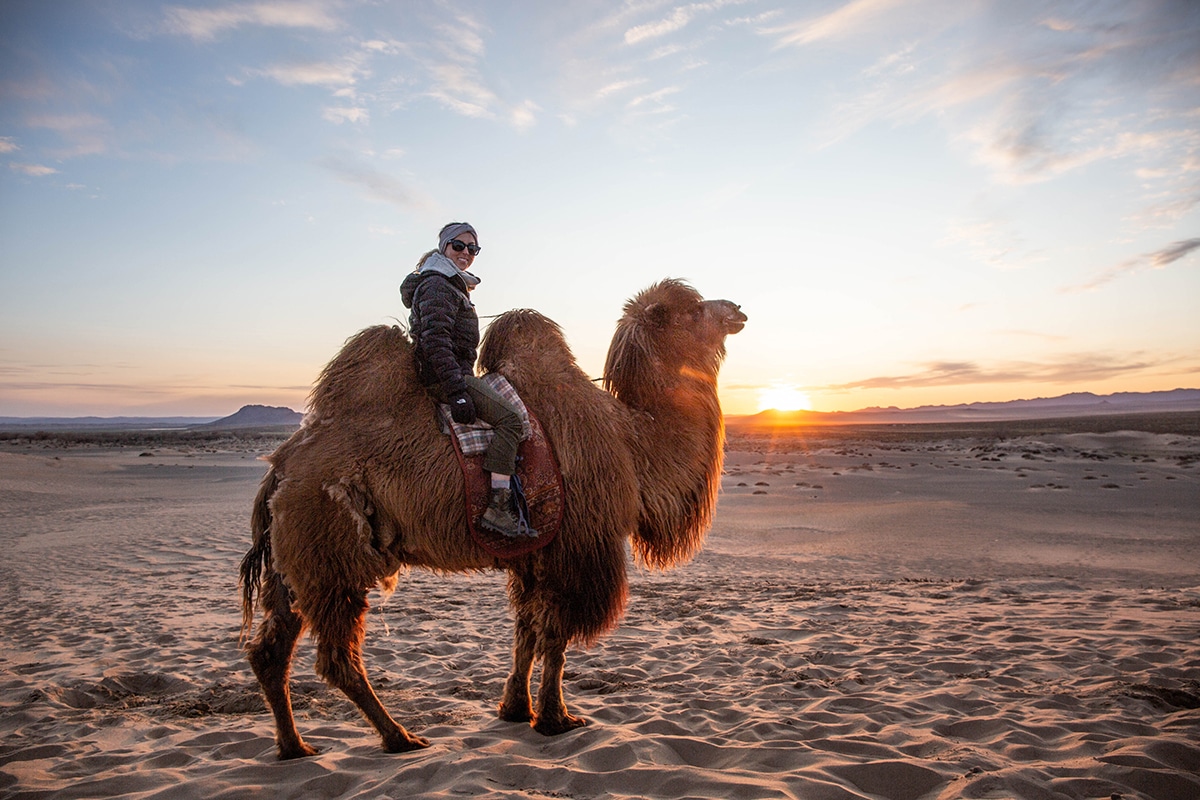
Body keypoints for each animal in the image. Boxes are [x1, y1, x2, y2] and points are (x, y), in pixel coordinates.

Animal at [239, 278, 746, 759]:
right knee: (337, 658)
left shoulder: (533, 552)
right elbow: (555, 638)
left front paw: (516, 709)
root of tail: (279, 469)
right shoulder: (575, 548)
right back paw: (400, 737)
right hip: (330, 553)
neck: (632, 444)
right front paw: (556, 718)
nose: (737, 308)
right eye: (693, 310)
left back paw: (294, 746)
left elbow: (526, 631)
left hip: (295, 564)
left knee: (270, 650)